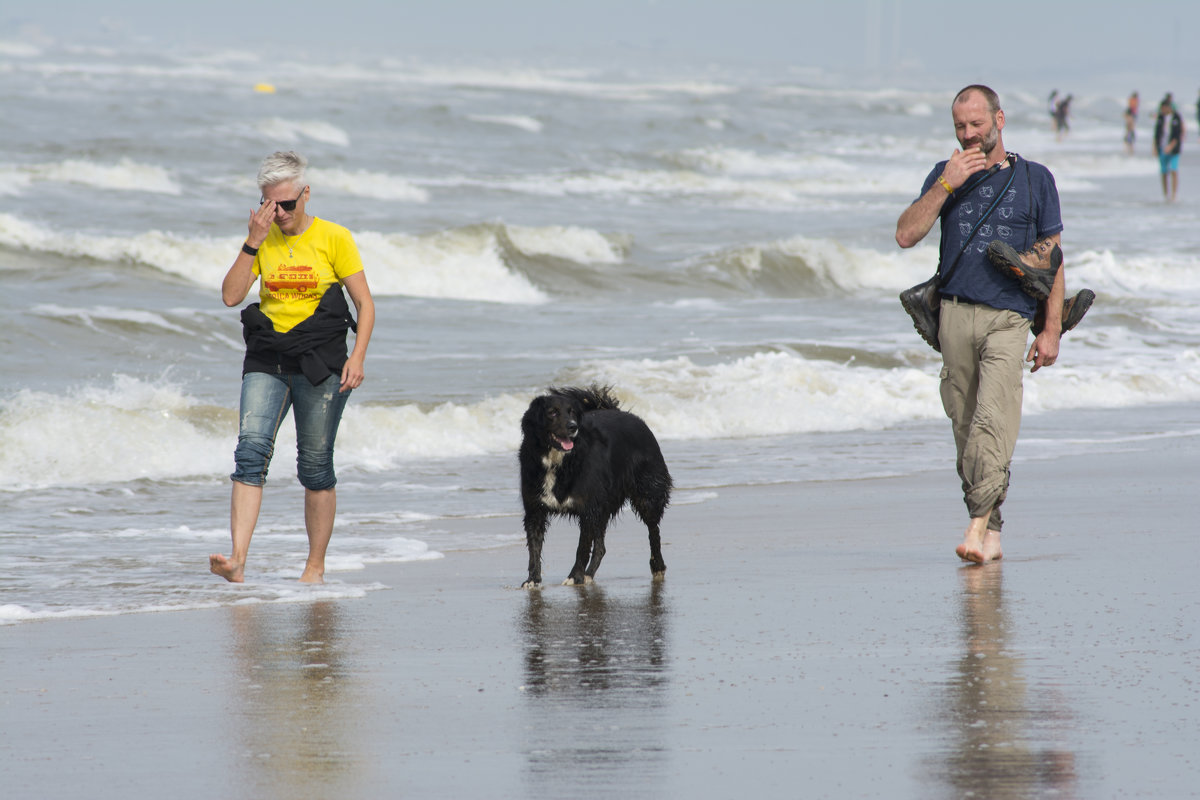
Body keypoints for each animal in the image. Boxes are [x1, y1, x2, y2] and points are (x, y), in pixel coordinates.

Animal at [518, 388, 676, 587]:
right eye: (552, 412)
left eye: (571, 412)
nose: (573, 427)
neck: (558, 461)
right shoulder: (535, 510)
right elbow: (534, 548)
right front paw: (533, 579)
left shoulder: (588, 509)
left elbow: (582, 547)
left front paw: (574, 576)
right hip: (604, 504)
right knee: (601, 547)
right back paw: (589, 575)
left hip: (647, 495)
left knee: (654, 531)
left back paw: (658, 567)